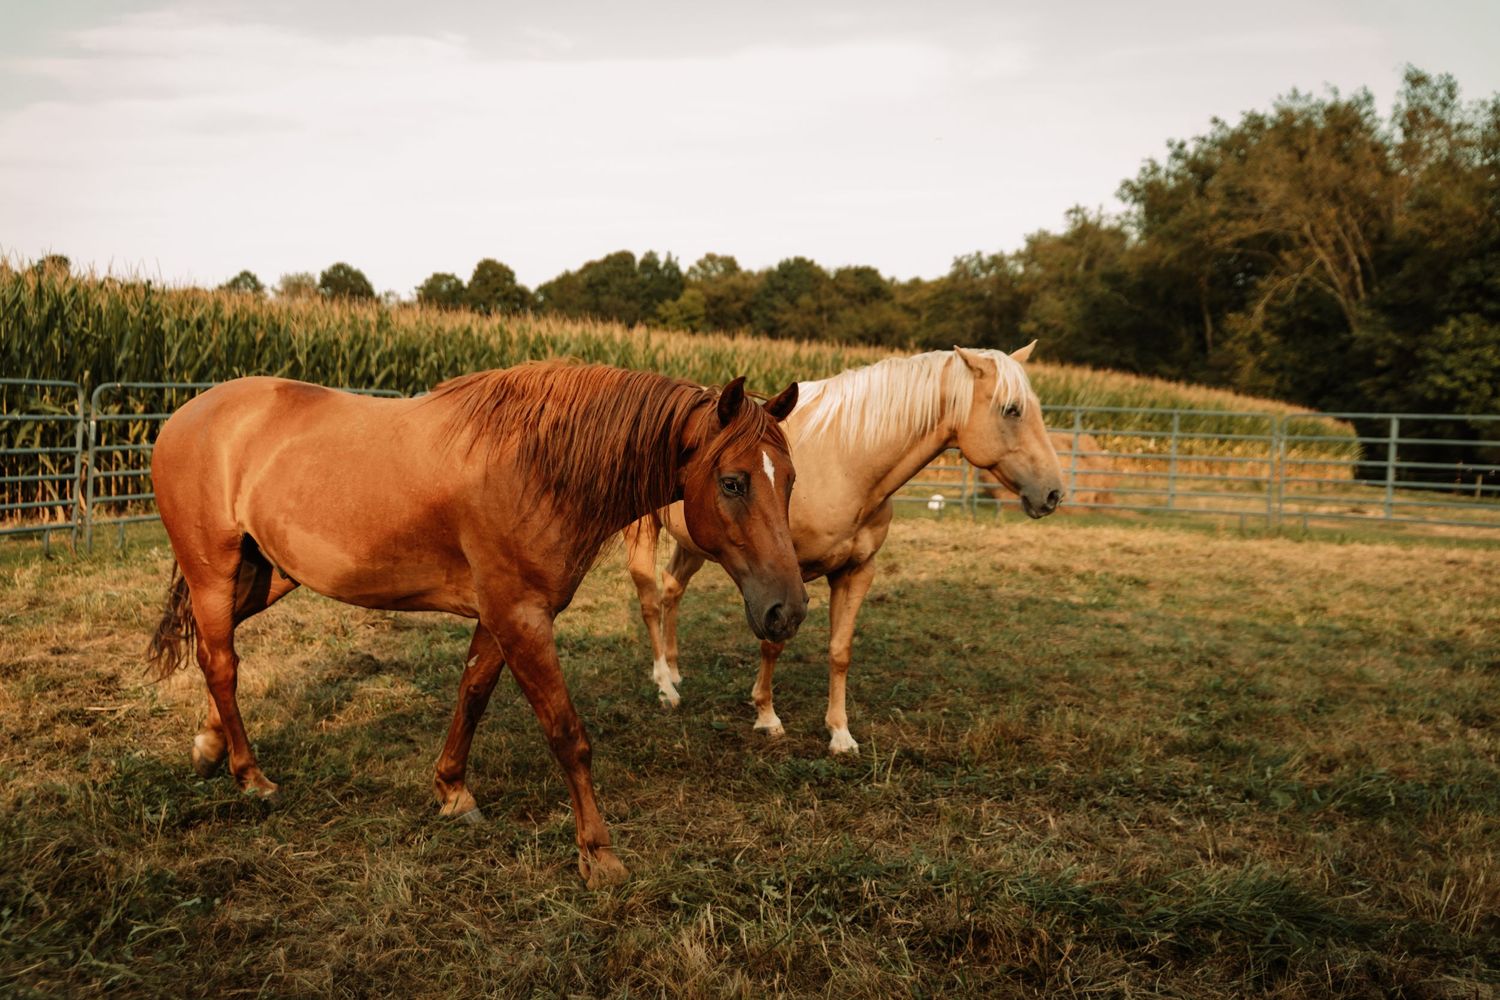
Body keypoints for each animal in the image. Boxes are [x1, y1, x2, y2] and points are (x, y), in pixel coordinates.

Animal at [145, 362, 806, 887]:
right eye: (733, 482)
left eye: (791, 481)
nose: (788, 609)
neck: (538, 466)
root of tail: (183, 415)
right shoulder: (521, 617)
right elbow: (568, 735)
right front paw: (599, 855)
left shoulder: (500, 615)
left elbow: (472, 694)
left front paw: (453, 791)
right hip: (214, 570)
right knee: (221, 661)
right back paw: (251, 776)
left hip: (267, 573)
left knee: (215, 647)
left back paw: (210, 746)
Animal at [624, 345, 1063, 754]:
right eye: (1011, 410)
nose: (1054, 493)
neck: (846, 463)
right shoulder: (786, 577)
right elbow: (773, 642)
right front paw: (766, 716)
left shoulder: (856, 572)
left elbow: (840, 651)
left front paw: (840, 734)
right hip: (643, 533)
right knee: (649, 600)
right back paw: (664, 687)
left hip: (695, 543)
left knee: (671, 588)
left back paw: (675, 671)